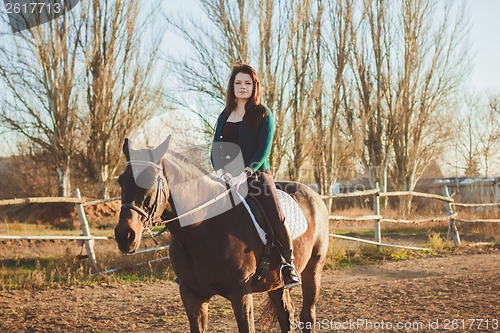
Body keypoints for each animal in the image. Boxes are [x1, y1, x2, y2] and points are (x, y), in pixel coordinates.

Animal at [114, 136, 330, 330]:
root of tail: (313, 194)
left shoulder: (240, 294)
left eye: (150, 180)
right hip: (275, 282)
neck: (201, 228)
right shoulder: (192, 296)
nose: (125, 236)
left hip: (313, 270)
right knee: (285, 314)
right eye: (121, 181)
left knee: (307, 315)